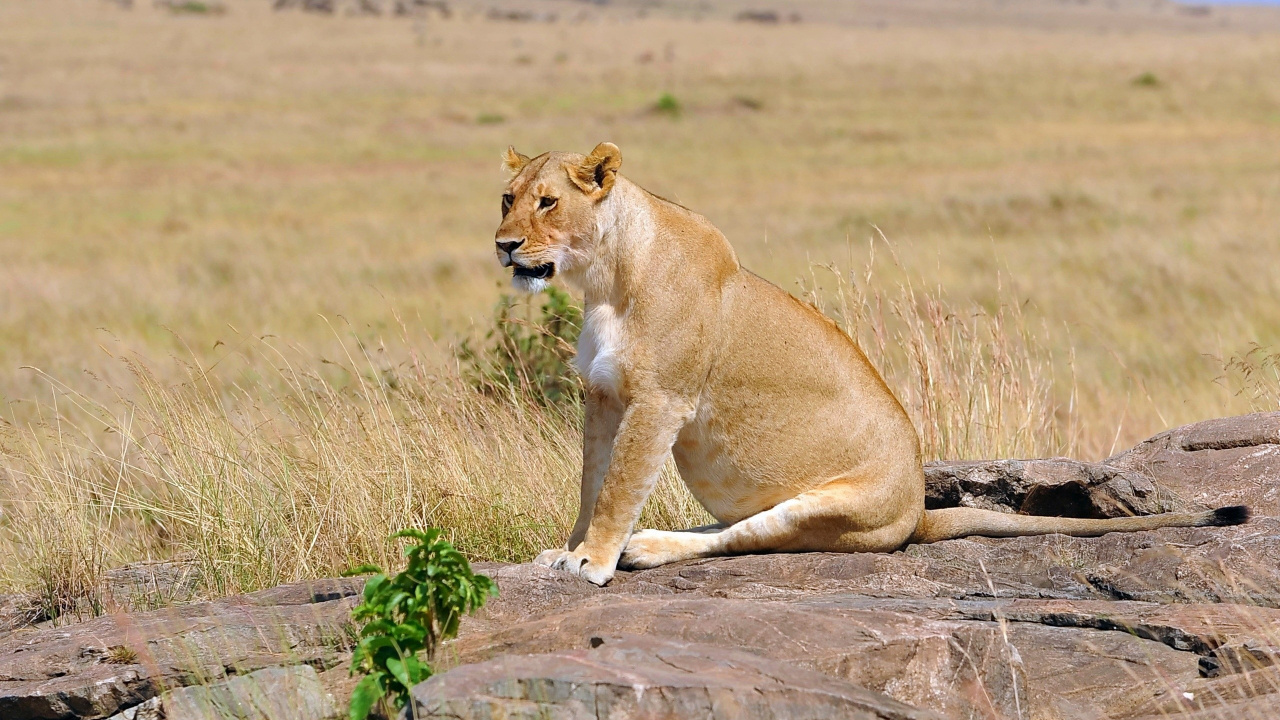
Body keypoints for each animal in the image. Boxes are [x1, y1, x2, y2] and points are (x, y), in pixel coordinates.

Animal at [493, 142, 1250, 586]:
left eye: (548, 202)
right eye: (507, 198)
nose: (503, 245)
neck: (601, 280)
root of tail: (918, 514)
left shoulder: (658, 401)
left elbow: (619, 485)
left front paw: (593, 561)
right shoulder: (603, 396)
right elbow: (592, 482)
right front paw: (567, 549)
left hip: (832, 508)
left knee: (746, 539)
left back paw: (646, 548)